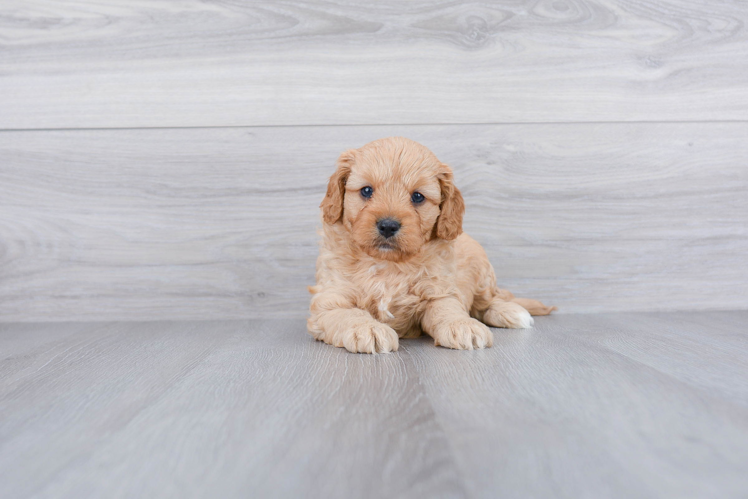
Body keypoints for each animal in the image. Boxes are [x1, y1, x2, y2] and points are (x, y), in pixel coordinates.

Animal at [306, 135, 556, 352]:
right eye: (366, 191)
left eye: (417, 197)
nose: (388, 225)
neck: (388, 265)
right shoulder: (331, 298)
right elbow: (348, 313)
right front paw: (368, 329)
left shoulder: (440, 291)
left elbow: (448, 309)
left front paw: (462, 326)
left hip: (483, 271)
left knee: (490, 300)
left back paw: (511, 312)